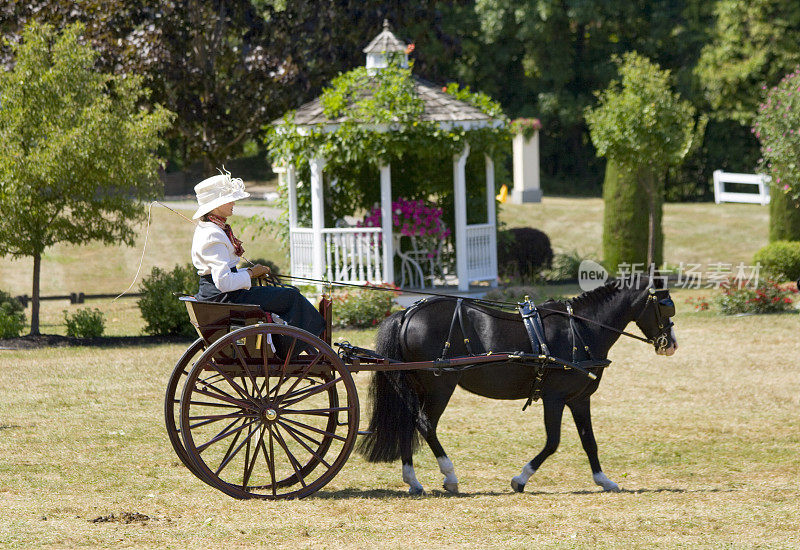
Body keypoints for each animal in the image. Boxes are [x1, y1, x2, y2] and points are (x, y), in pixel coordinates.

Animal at [360, 278, 680, 498]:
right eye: (665, 304)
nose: (671, 344)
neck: (580, 329)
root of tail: (408, 313)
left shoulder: (579, 399)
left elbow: (589, 441)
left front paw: (603, 480)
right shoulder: (554, 398)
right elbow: (553, 442)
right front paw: (521, 479)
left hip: (419, 385)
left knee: (408, 422)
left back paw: (413, 480)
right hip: (440, 385)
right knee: (425, 424)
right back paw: (449, 476)